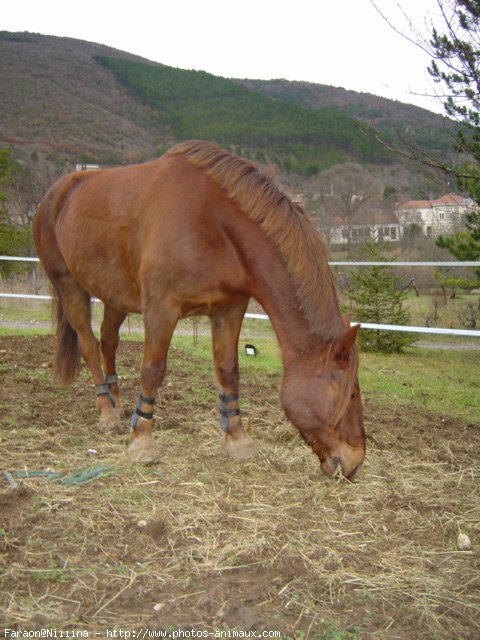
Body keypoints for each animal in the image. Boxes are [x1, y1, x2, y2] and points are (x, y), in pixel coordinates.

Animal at [32, 141, 364, 480]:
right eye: (351, 394)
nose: (355, 461)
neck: (214, 224)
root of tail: (55, 194)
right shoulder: (161, 310)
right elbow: (152, 371)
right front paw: (142, 442)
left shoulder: (229, 309)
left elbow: (228, 371)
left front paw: (238, 440)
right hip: (70, 286)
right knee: (88, 344)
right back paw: (107, 413)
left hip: (115, 295)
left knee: (108, 341)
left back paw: (118, 404)